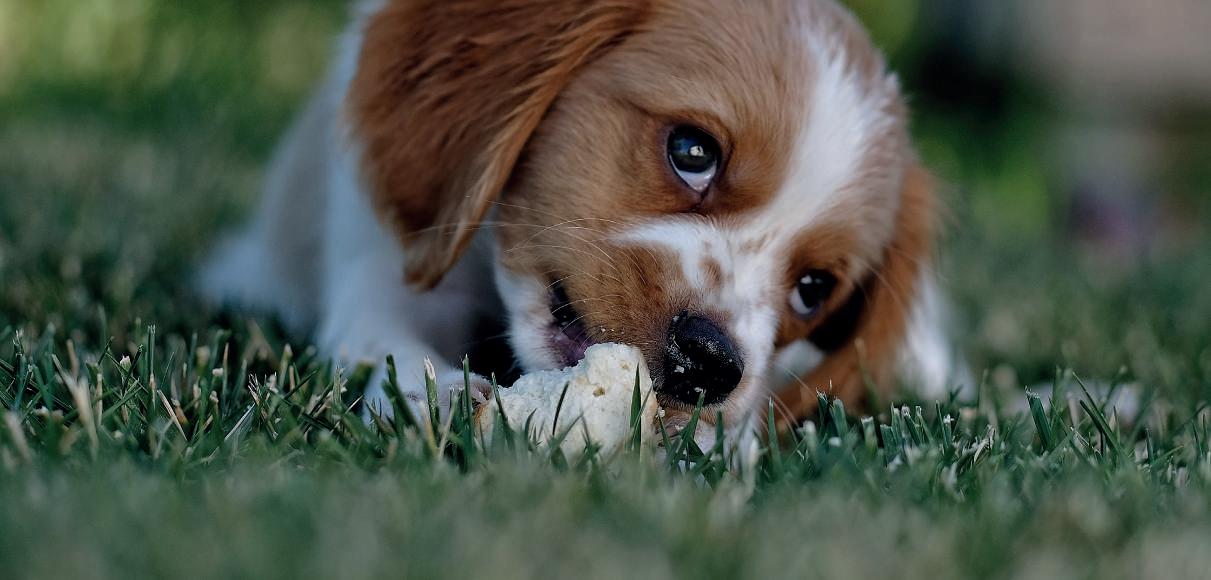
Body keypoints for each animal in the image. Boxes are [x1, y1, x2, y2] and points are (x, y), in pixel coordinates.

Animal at [200, 0, 962, 435]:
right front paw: (445, 396)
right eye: (692, 151)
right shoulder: (381, 264)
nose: (711, 363)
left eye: (813, 289)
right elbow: (387, 347)